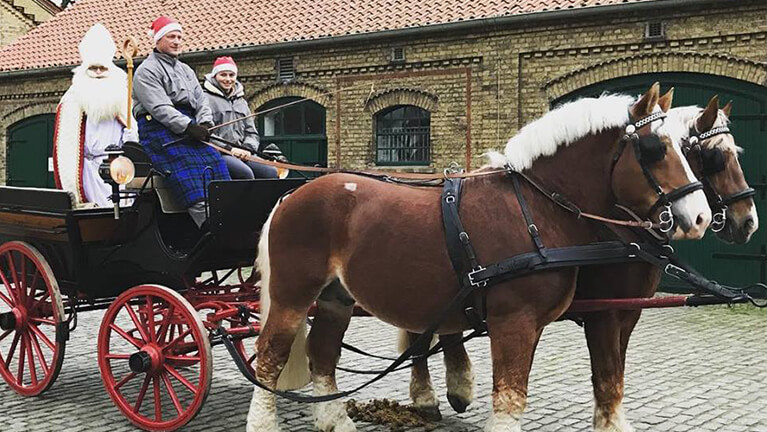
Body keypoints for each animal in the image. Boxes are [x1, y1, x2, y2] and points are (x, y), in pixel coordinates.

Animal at [248, 85, 712, 432]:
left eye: (685, 149)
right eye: (654, 148)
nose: (701, 217)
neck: (536, 208)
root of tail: (294, 193)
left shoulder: (546, 322)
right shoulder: (516, 321)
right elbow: (510, 398)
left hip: (335, 297)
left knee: (323, 354)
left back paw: (334, 419)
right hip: (293, 295)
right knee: (270, 358)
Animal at [404, 93, 760, 430]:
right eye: (715, 157)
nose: (748, 222)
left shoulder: (627, 313)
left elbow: (615, 371)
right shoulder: (602, 313)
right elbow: (606, 373)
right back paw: (432, 395)